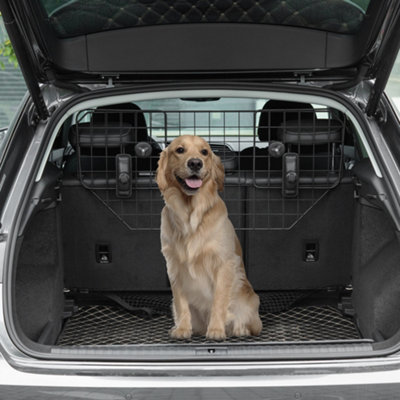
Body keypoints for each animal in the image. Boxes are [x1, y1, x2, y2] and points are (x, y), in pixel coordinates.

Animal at [156, 135, 262, 340]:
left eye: (204, 151)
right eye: (179, 150)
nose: (195, 163)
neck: (190, 213)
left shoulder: (224, 263)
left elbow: (219, 300)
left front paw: (216, 330)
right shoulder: (174, 266)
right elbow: (181, 303)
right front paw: (182, 329)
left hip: (249, 299)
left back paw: (239, 329)